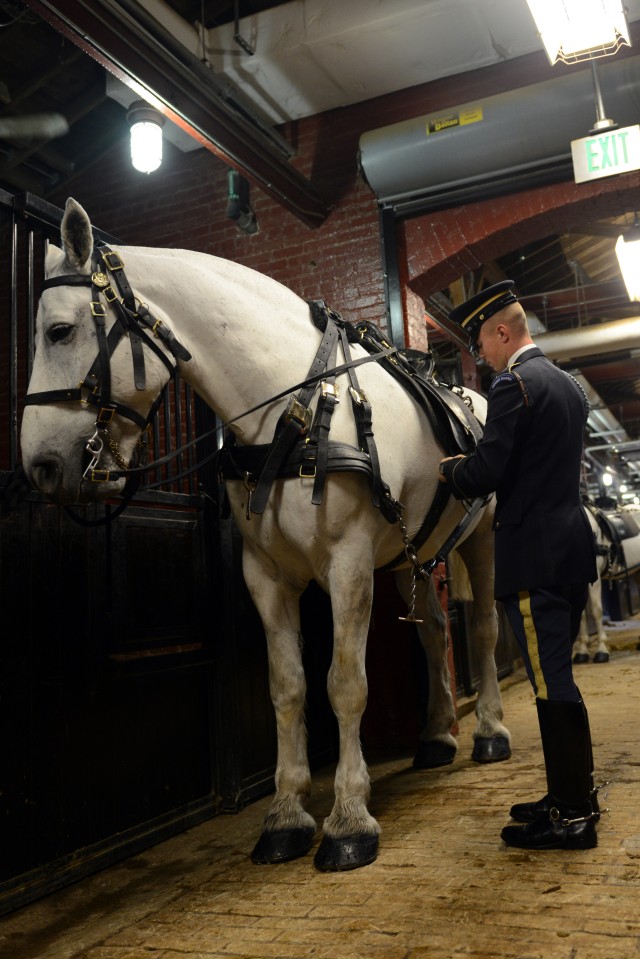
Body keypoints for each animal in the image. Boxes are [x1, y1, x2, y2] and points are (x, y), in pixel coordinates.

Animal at [18, 199, 510, 872]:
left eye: (60, 332)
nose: (39, 466)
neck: (292, 408)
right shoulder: (267, 574)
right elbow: (287, 688)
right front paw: (286, 814)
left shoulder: (348, 563)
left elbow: (343, 684)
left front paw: (349, 818)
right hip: (409, 553)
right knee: (436, 631)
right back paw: (437, 735)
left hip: (479, 538)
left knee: (482, 627)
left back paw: (489, 731)